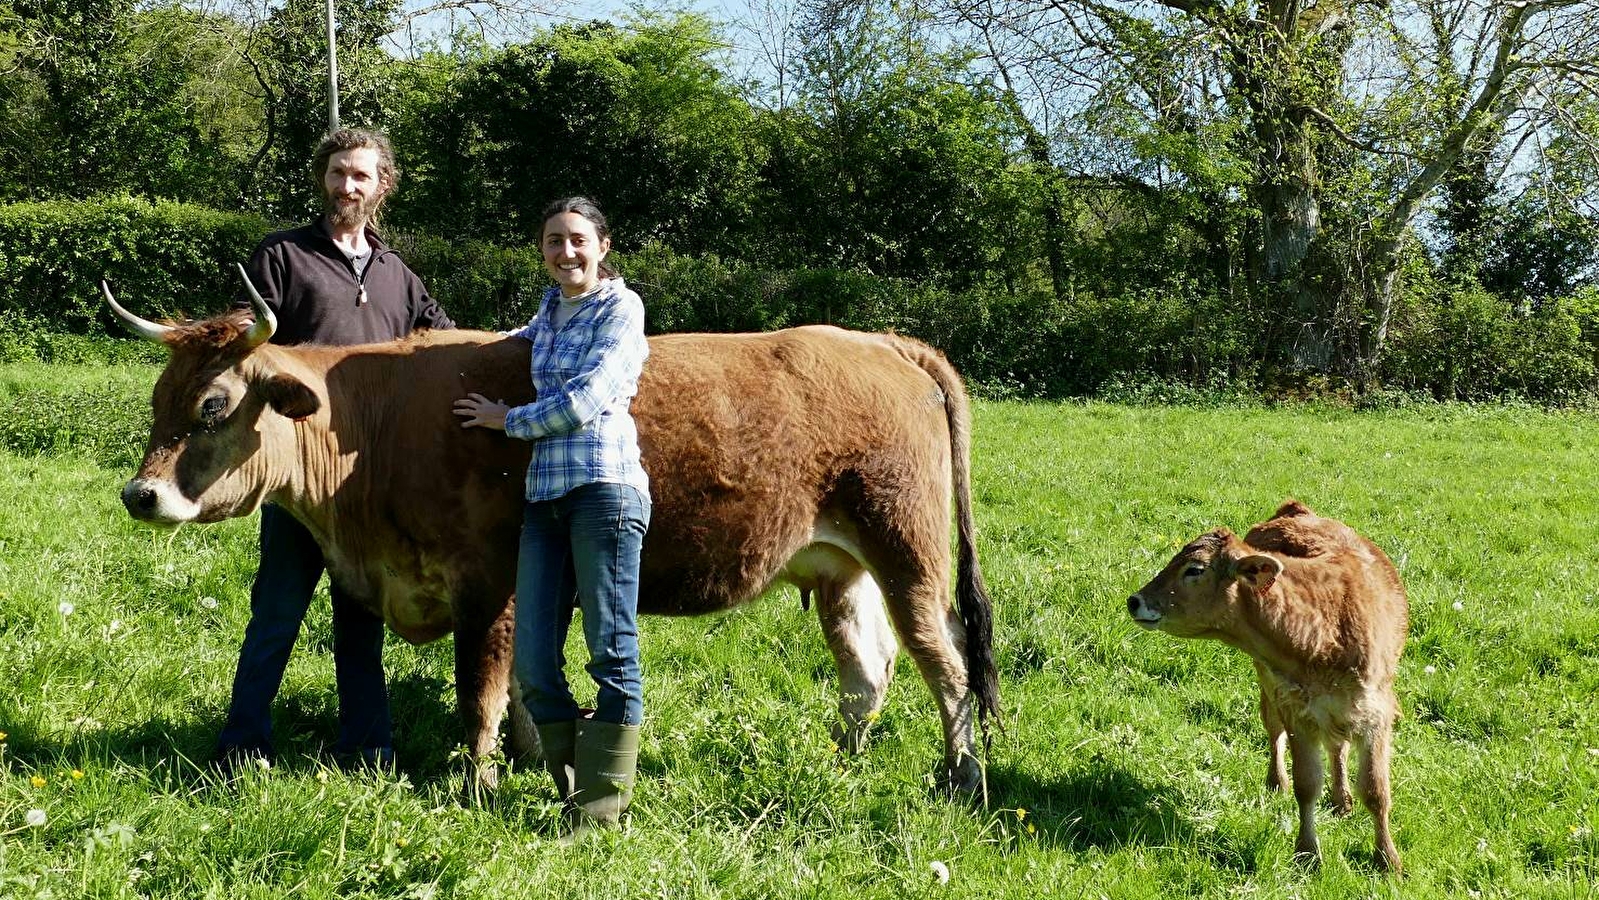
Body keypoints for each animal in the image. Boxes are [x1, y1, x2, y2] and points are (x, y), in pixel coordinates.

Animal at [106, 279, 991, 796]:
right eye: (158, 397)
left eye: (214, 405)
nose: (139, 495)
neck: (374, 426)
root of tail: (874, 340)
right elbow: (527, 690)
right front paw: (538, 764)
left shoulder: (486, 584)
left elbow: (481, 689)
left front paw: (480, 782)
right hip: (839, 564)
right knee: (868, 667)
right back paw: (842, 759)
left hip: (906, 548)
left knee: (943, 659)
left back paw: (957, 773)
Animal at [1125, 498, 1413, 876]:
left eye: (1194, 569)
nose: (1135, 600)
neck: (1326, 627)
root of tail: (1296, 510)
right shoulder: (1298, 712)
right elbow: (1306, 785)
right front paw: (1307, 853)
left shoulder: (1376, 714)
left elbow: (1377, 792)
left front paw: (1387, 859)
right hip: (1268, 685)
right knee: (1276, 730)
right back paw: (1278, 782)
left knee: (1337, 746)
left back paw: (1341, 799)